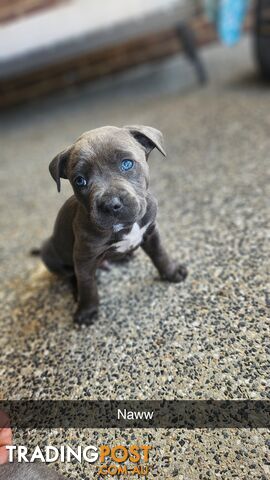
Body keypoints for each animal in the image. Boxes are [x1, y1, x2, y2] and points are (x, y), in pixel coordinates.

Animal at [40, 124, 187, 326]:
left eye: (127, 164)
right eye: (80, 181)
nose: (111, 204)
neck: (126, 226)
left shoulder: (151, 232)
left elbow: (160, 254)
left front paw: (171, 272)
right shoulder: (84, 257)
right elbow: (87, 285)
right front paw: (87, 310)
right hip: (48, 251)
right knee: (71, 275)